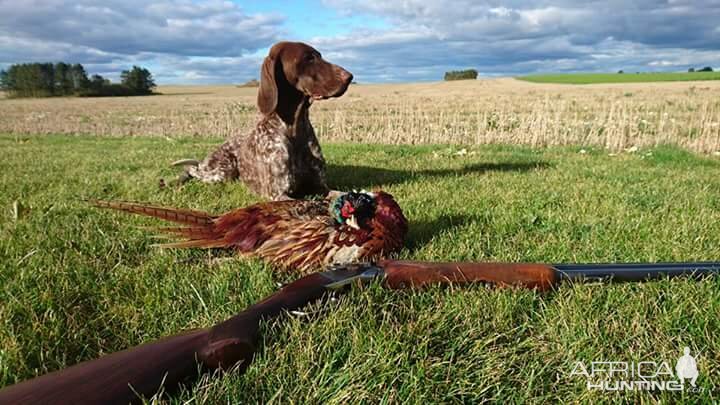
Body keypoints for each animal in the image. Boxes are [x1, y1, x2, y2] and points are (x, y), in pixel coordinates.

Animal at [174, 41, 354, 200]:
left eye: (318, 56)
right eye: (308, 58)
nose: (349, 77)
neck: (295, 129)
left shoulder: (320, 187)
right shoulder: (277, 194)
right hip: (222, 172)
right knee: (193, 169)